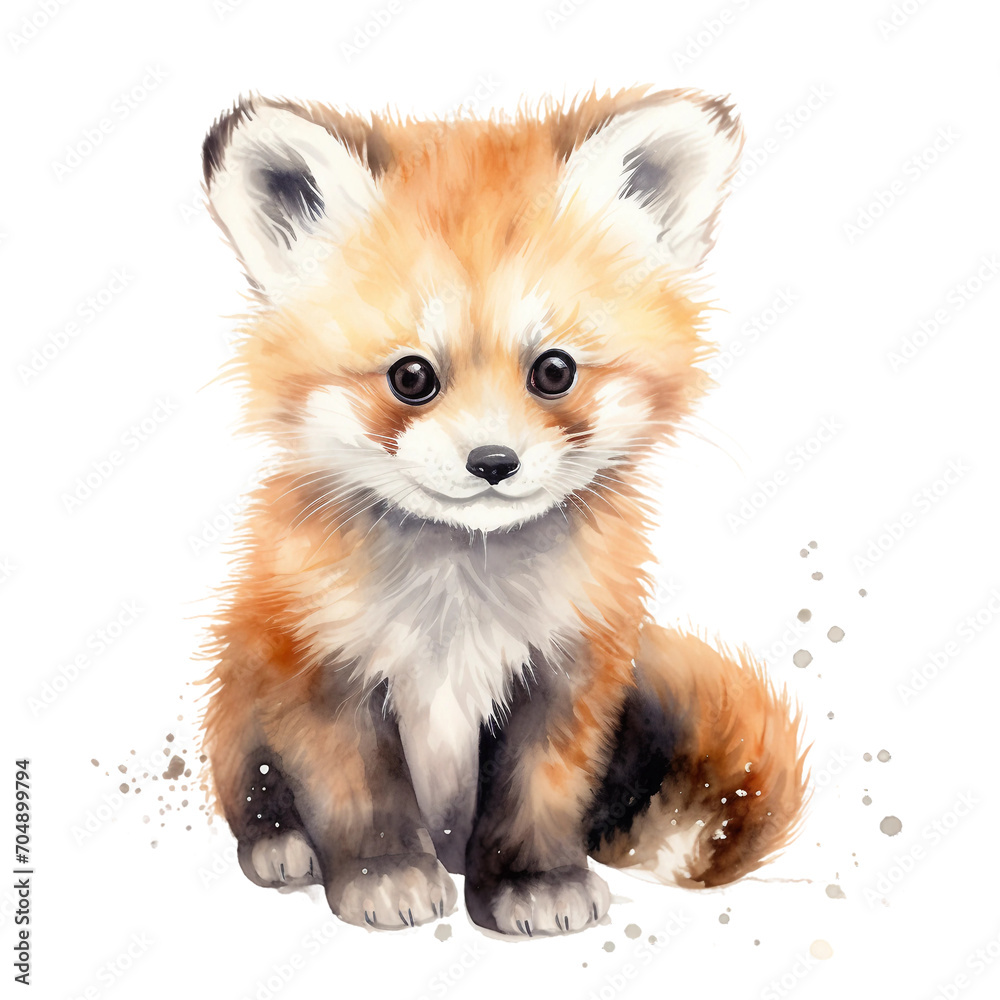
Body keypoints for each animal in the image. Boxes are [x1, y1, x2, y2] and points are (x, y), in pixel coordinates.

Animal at [198, 86, 808, 936]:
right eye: (411, 377)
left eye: (553, 371)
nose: (492, 463)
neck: (460, 606)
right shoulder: (319, 664)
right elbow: (359, 793)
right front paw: (384, 876)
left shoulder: (571, 669)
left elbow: (537, 794)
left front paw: (535, 882)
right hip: (237, 689)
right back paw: (280, 844)